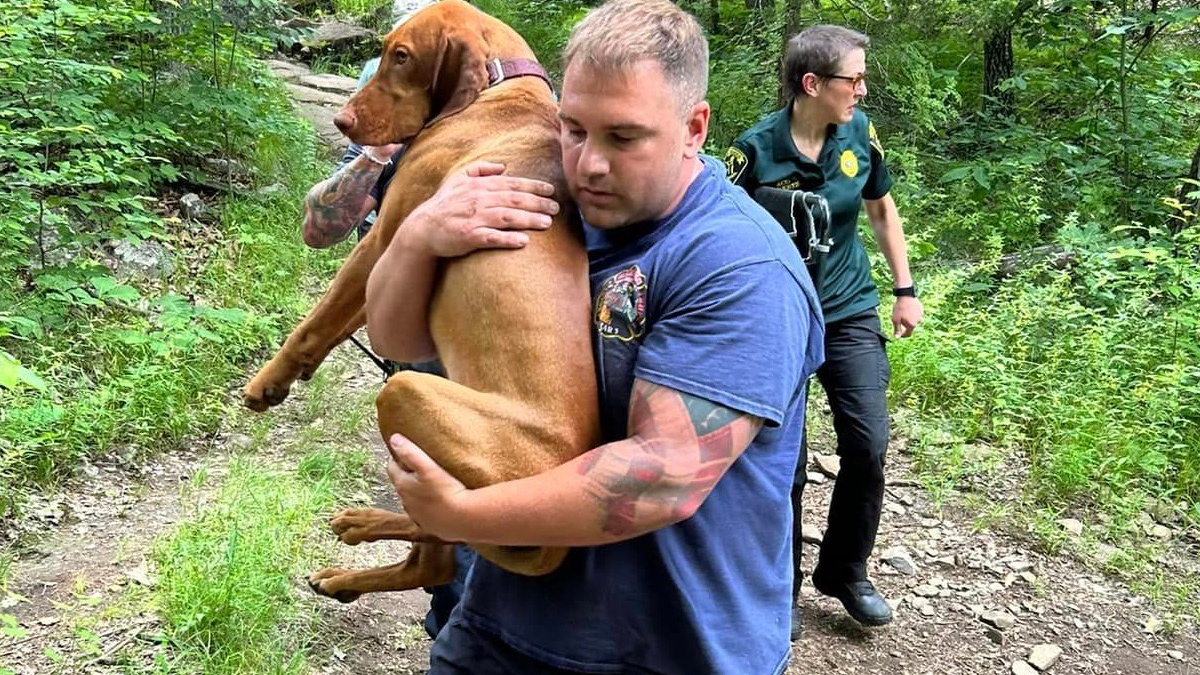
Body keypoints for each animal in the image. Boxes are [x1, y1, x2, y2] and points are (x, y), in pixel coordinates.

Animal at [243, 0, 600, 598]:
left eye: (402, 57)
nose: (343, 123)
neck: (501, 91)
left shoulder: (385, 239)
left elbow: (314, 321)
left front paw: (268, 380)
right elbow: (342, 323)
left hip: (409, 396)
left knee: (440, 543)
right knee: (431, 553)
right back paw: (356, 548)